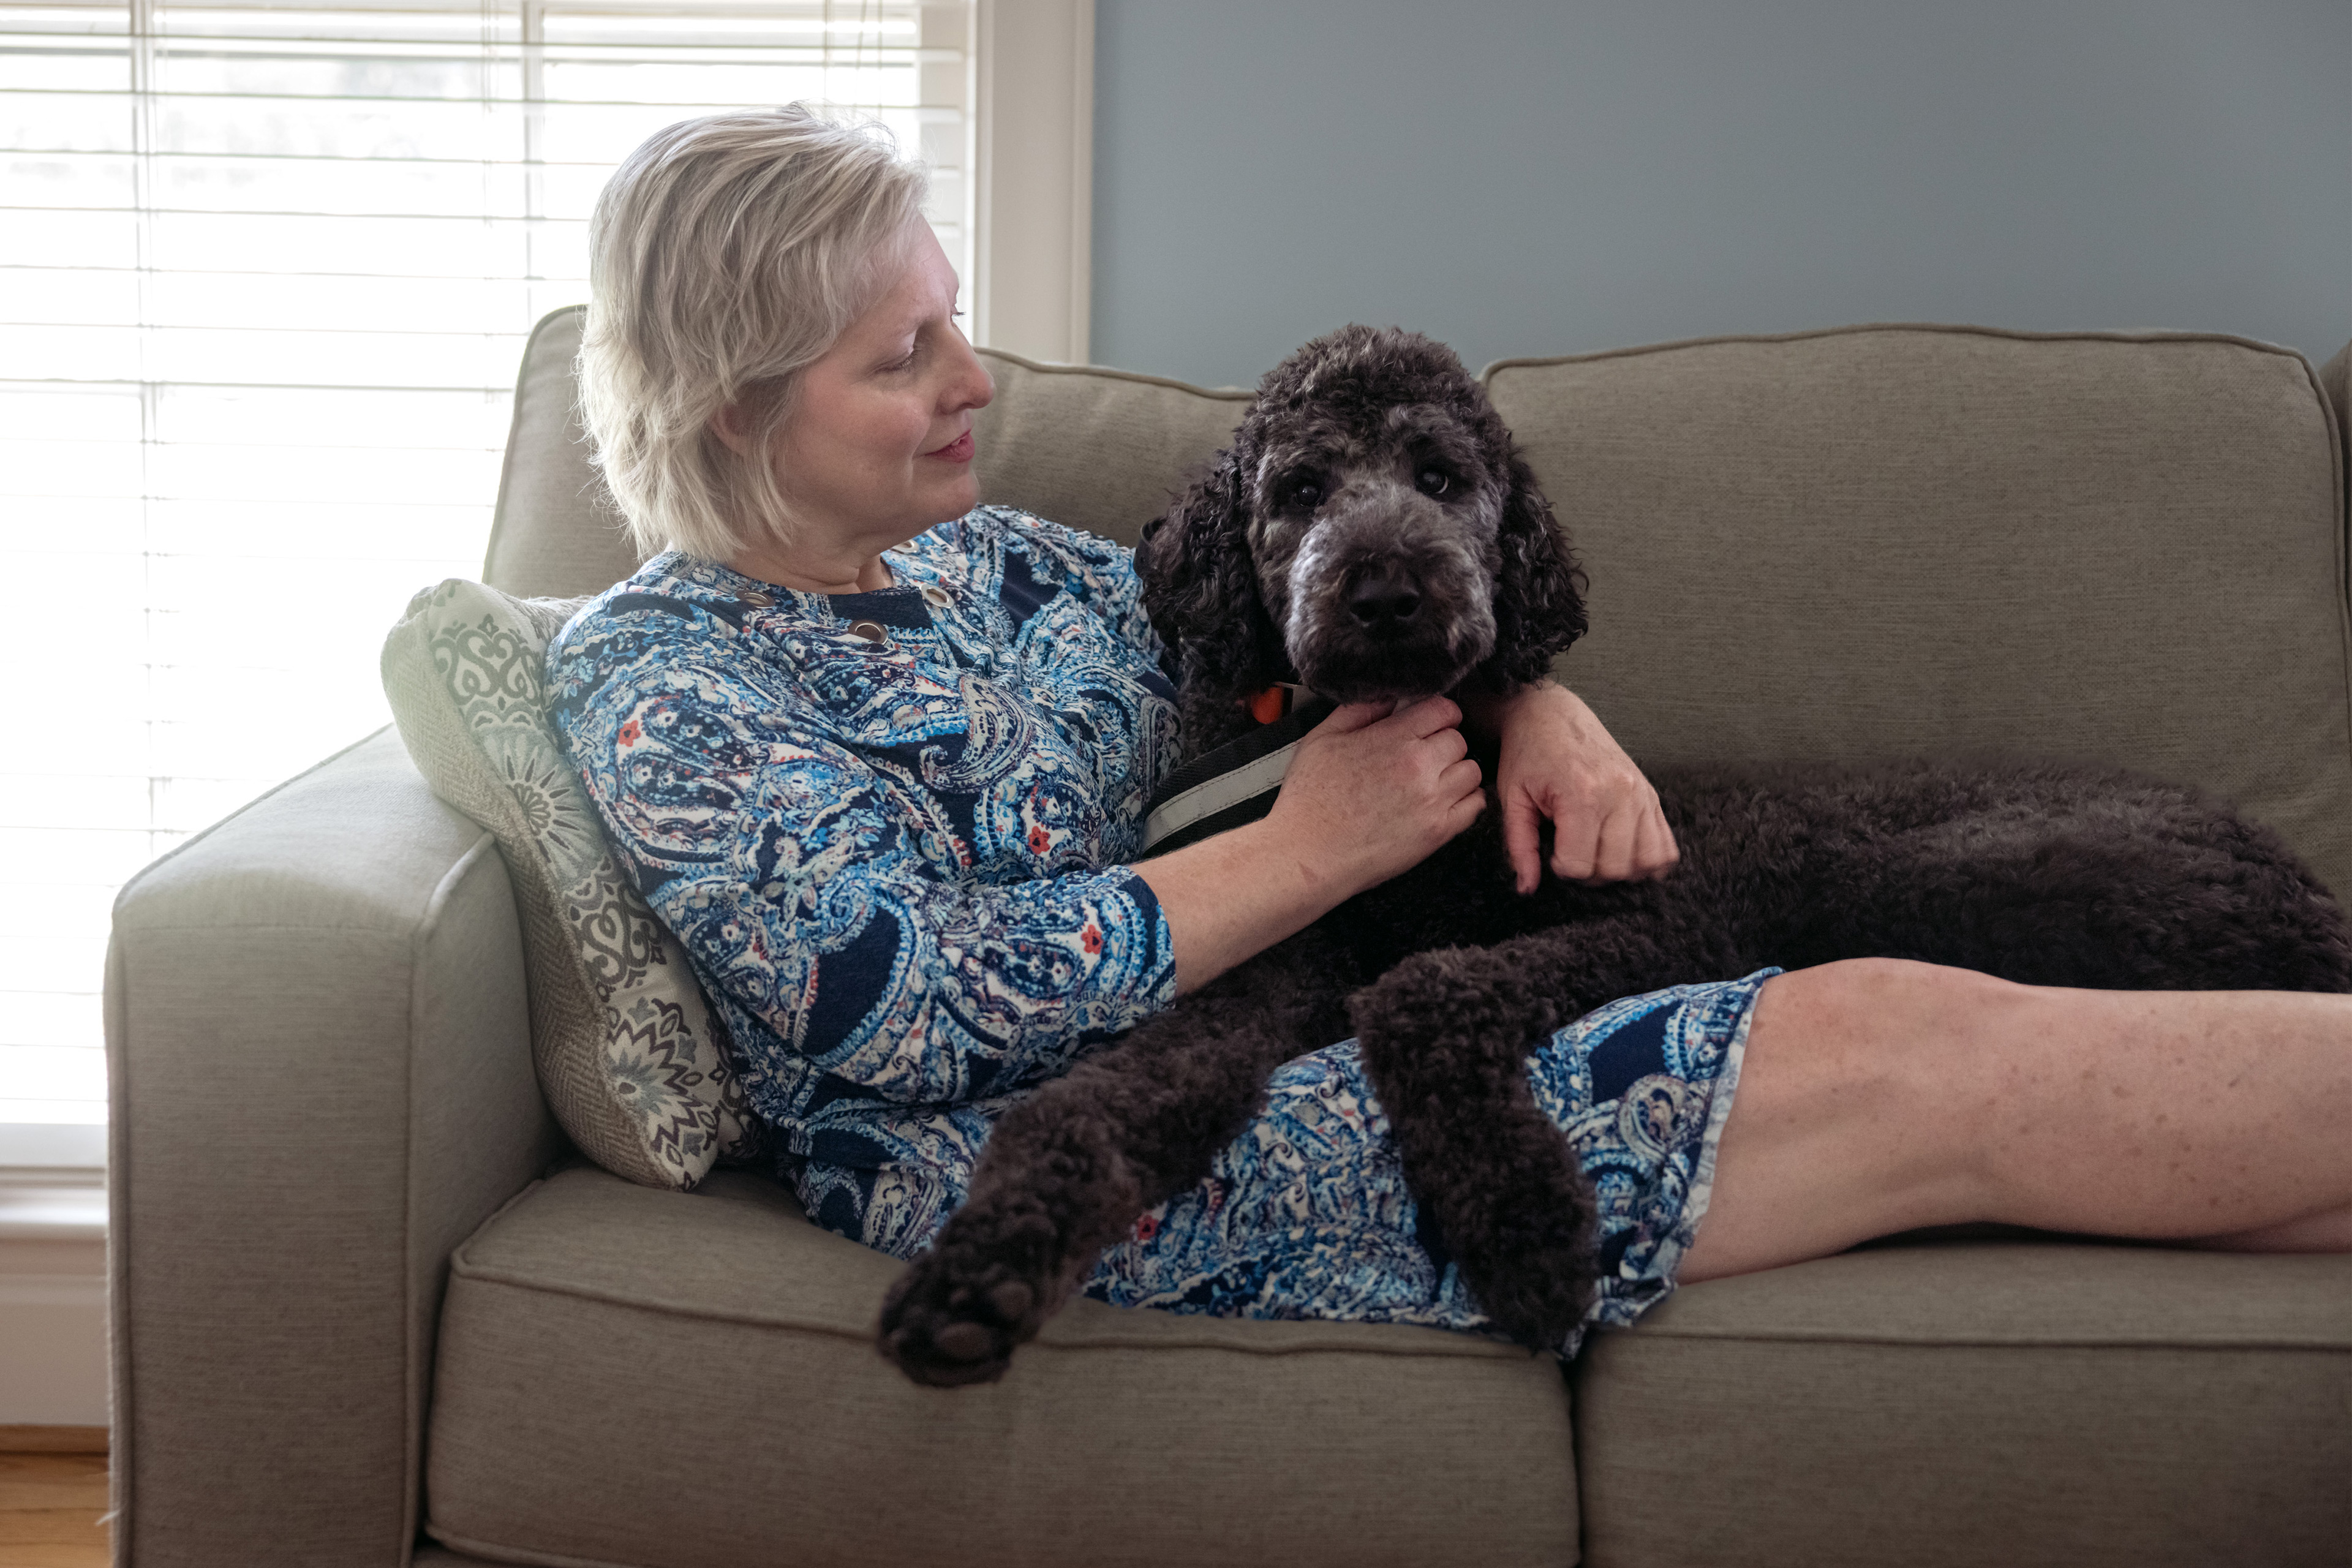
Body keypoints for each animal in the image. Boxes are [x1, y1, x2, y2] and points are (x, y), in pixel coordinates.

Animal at [880, 322, 2352, 1382]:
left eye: (1444, 478)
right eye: (1298, 489)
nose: (1390, 592)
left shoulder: (1660, 922)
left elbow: (1423, 989)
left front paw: (1529, 1228)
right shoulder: (1252, 971)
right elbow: (1096, 1096)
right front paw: (980, 1273)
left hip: (1973, 879)